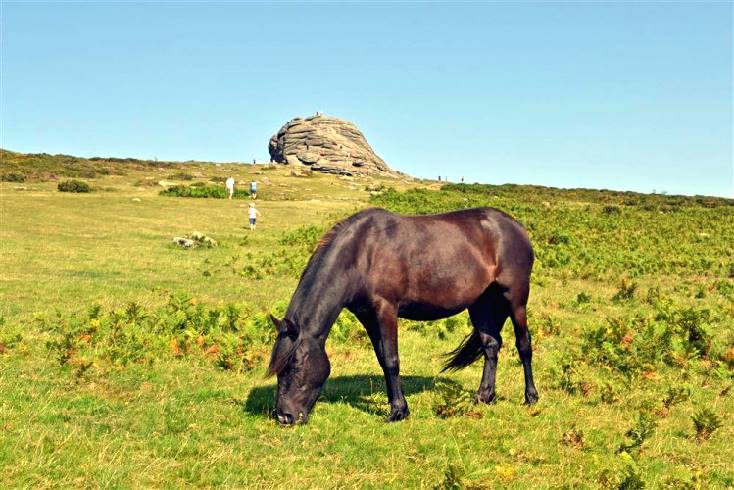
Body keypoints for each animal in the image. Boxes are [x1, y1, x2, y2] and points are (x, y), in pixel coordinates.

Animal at [268, 207, 536, 424]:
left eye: (294, 365)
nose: (284, 416)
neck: (361, 254)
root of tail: (516, 227)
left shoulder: (386, 309)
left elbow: (391, 360)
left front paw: (398, 412)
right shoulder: (368, 316)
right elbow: (382, 359)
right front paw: (398, 407)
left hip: (515, 298)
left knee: (523, 345)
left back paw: (531, 397)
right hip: (481, 303)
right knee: (491, 345)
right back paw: (484, 396)